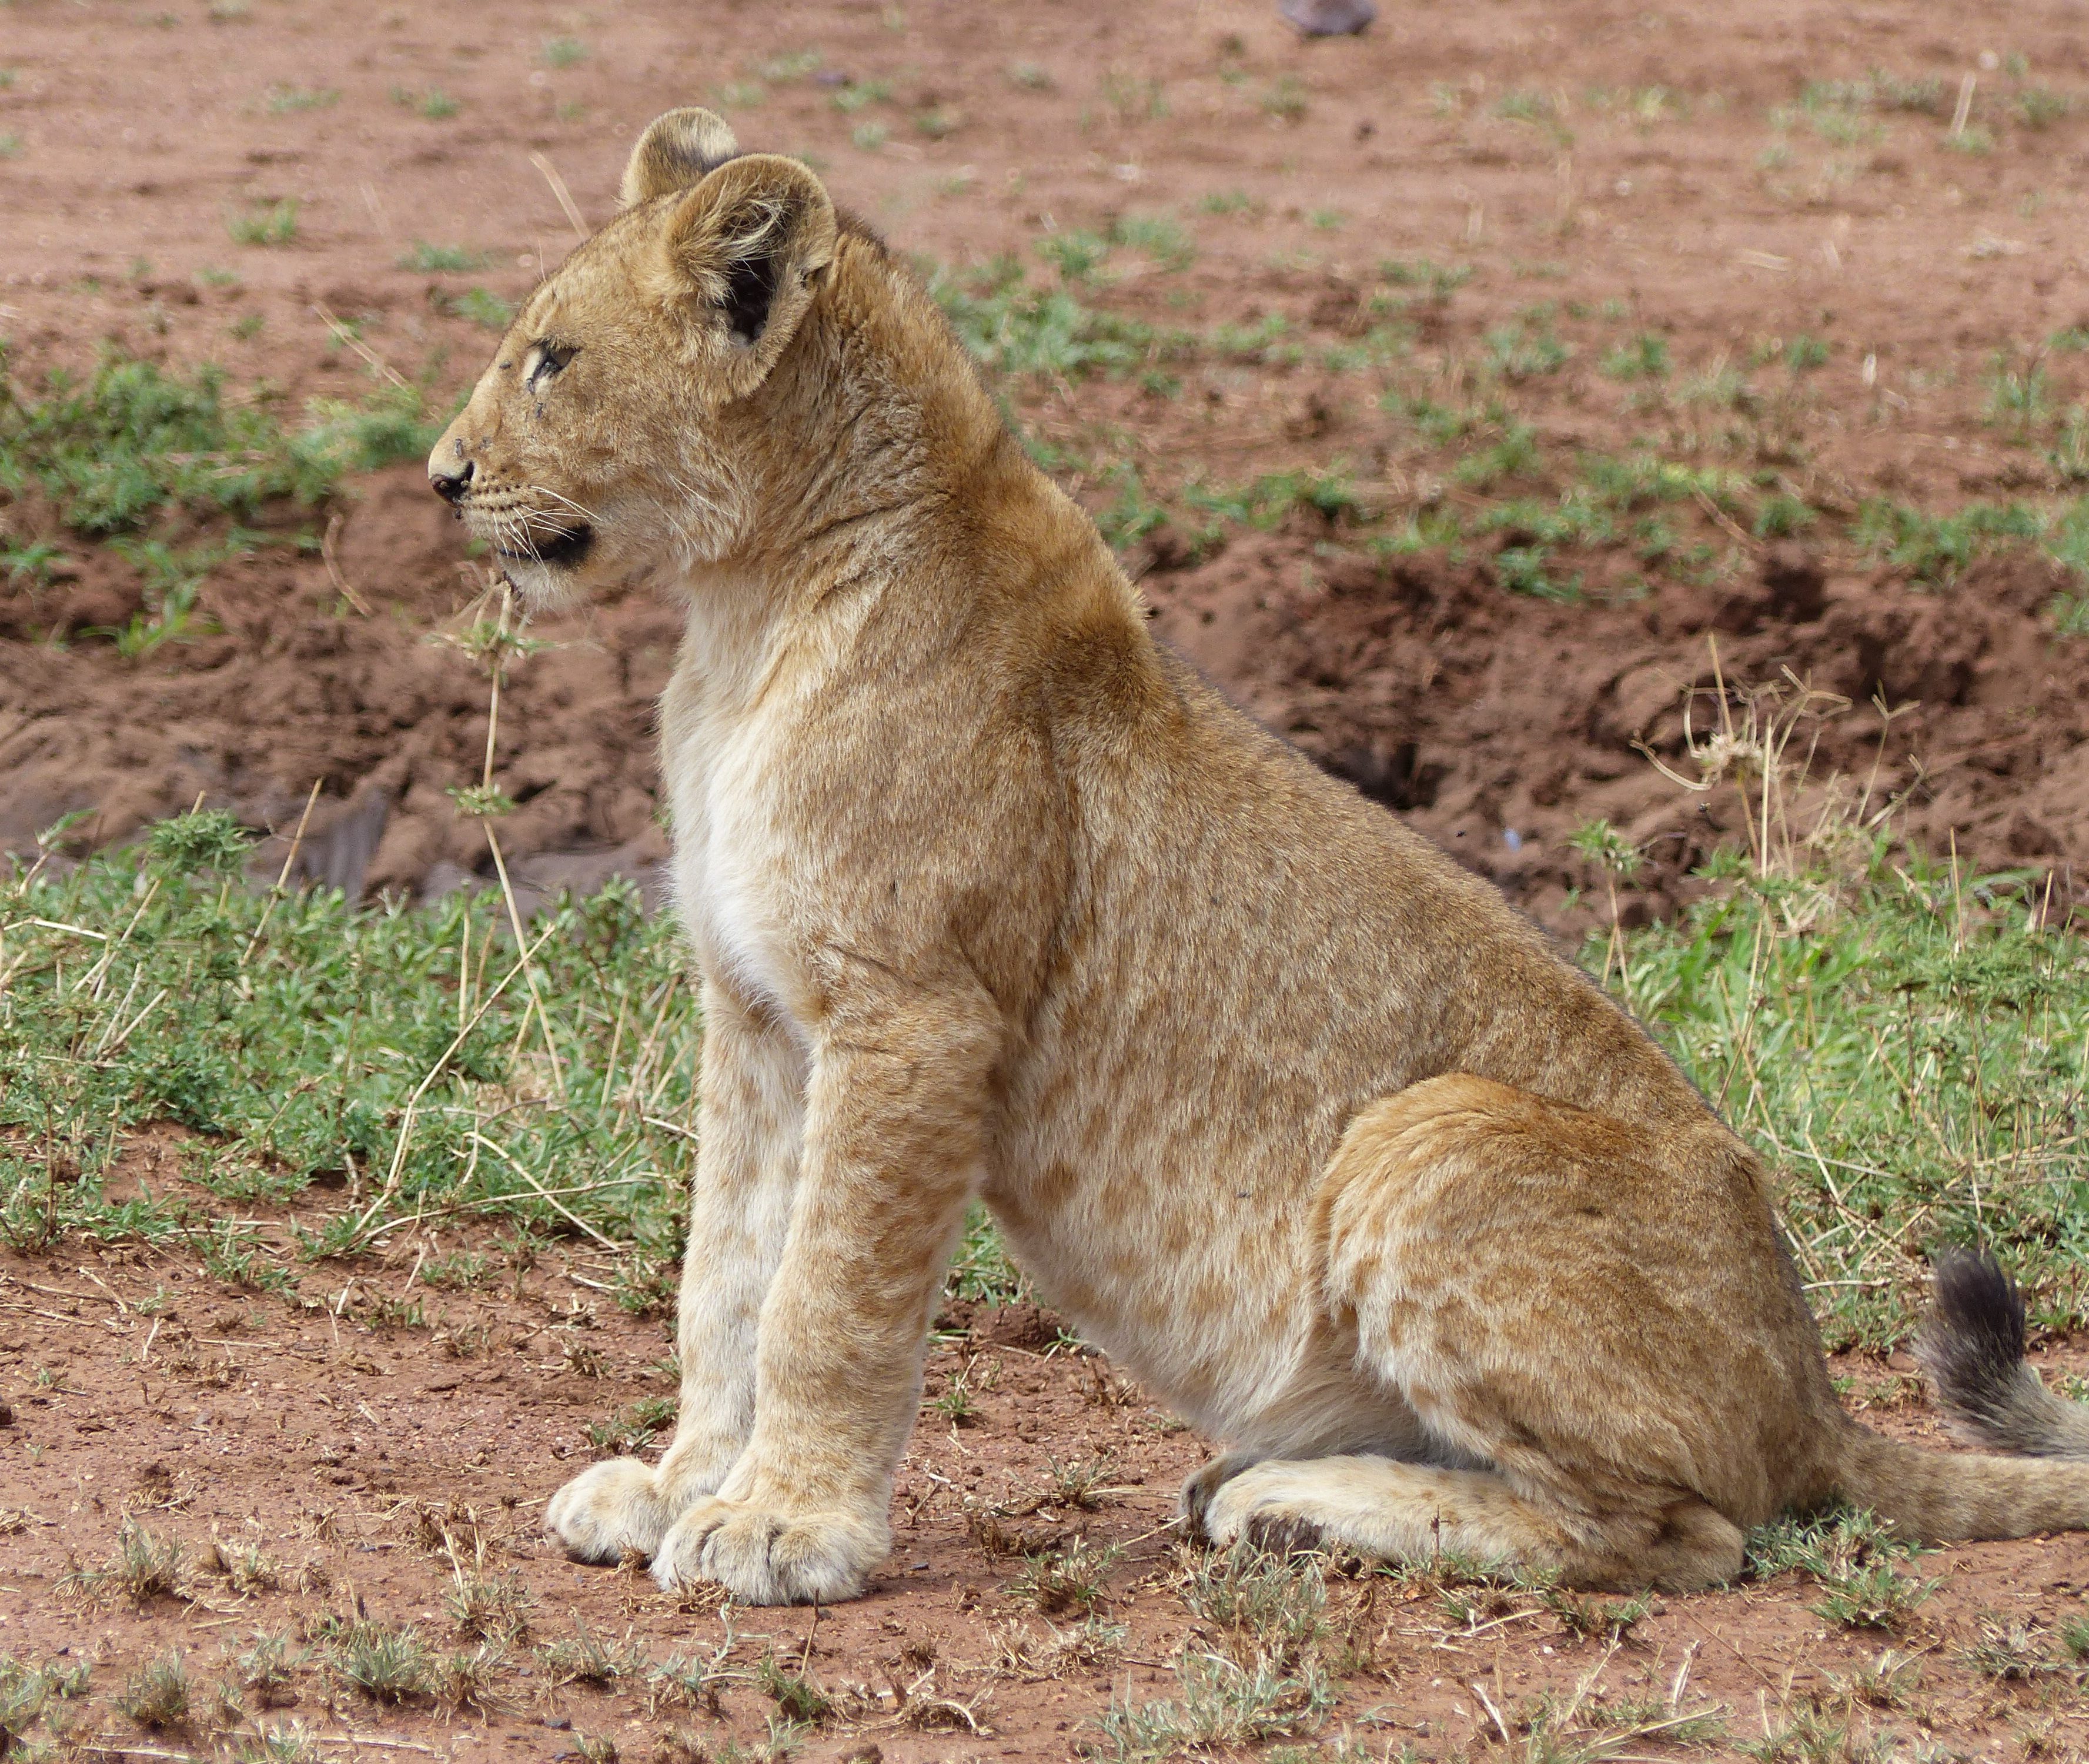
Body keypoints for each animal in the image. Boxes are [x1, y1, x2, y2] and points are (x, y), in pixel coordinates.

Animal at [426, 108, 2089, 1606]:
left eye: (551, 359)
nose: (440, 478)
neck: (748, 609)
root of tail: (1814, 1393)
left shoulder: (911, 1011)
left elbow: (824, 1296)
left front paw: (786, 1530)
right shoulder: (759, 1007)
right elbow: (724, 1275)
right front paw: (677, 1488)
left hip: (1429, 1132)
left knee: (1680, 1536)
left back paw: (1293, 1503)